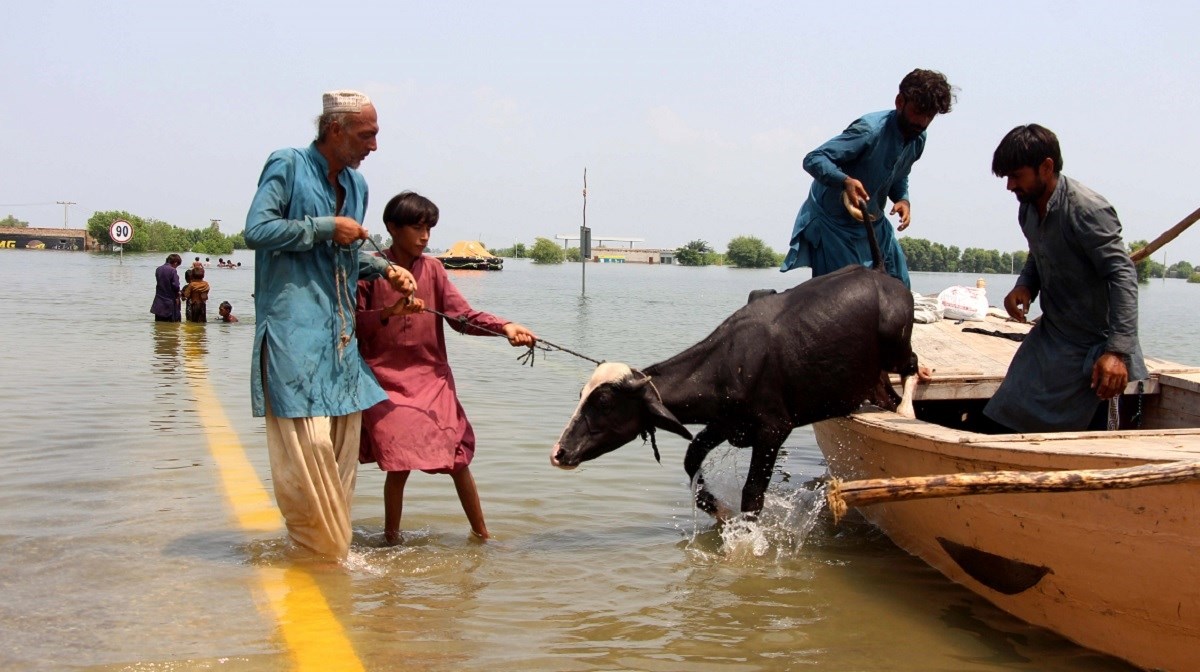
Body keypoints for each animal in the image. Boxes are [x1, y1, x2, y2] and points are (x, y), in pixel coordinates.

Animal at [552, 219, 916, 513]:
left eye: (604, 402)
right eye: (581, 395)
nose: (559, 452)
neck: (729, 364)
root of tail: (879, 272)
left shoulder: (773, 429)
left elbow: (752, 494)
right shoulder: (725, 424)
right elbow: (691, 458)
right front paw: (715, 508)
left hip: (896, 347)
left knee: (913, 368)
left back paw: (908, 413)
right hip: (872, 381)